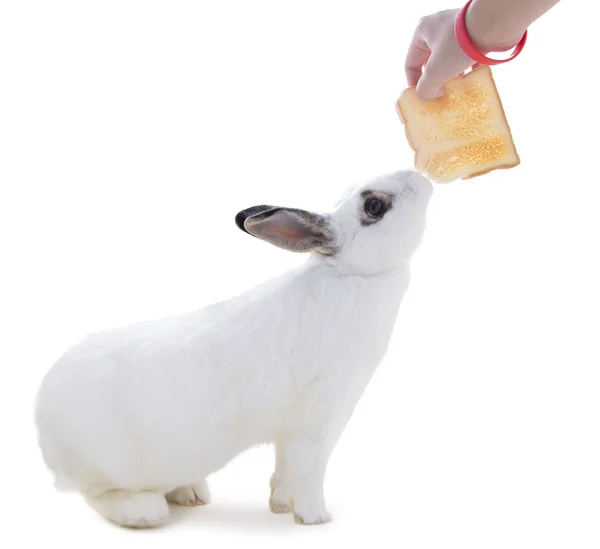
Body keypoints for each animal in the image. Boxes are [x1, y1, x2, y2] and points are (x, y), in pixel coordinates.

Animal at [35, 168, 434, 528]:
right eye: (374, 205)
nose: (423, 178)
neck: (349, 274)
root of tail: (43, 416)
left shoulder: (294, 434)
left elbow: (284, 471)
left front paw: (281, 506)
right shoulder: (318, 421)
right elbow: (307, 471)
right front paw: (315, 518)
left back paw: (191, 493)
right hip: (107, 469)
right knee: (99, 495)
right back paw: (145, 511)